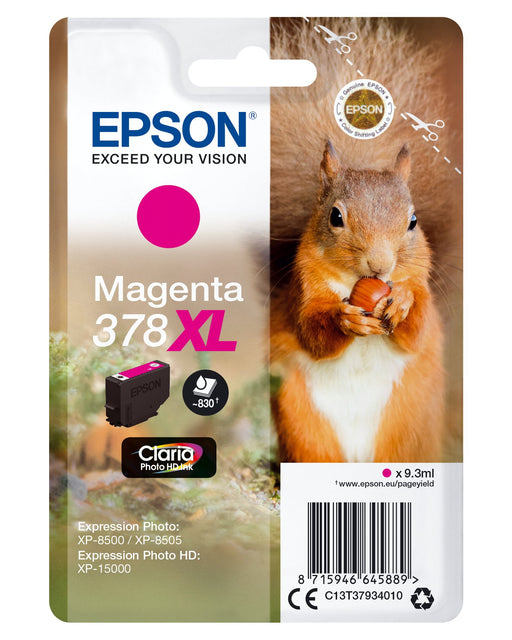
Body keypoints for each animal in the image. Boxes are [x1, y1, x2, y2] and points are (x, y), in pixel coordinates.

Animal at [269, 18, 462, 463]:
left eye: (413, 221)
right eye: (335, 217)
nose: (380, 265)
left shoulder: (422, 286)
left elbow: (417, 328)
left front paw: (403, 302)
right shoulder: (304, 290)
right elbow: (312, 331)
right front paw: (346, 319)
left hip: (409, 426)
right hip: (302, 424)